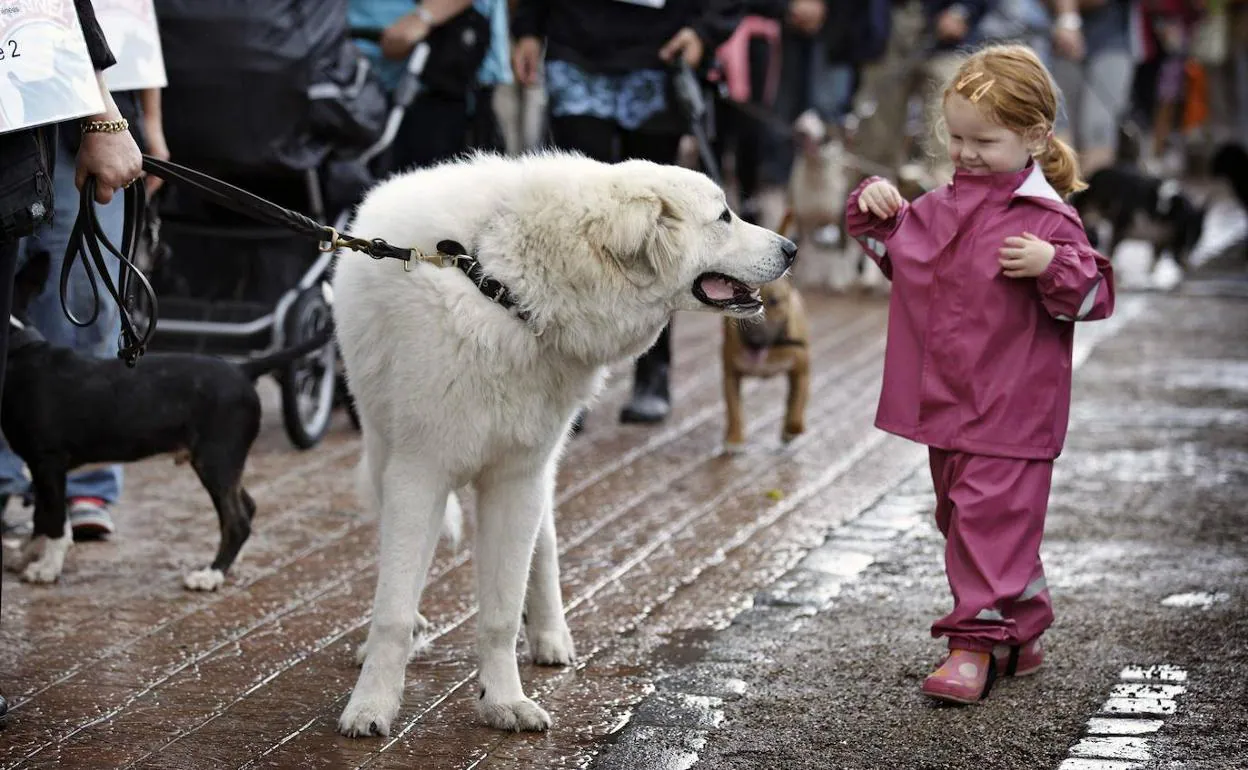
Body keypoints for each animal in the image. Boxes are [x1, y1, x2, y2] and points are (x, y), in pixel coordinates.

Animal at [1, 252, 331, 589]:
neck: (19, 351)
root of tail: (243, 369)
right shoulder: (39, 467)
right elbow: (41, 517)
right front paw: (26, 555)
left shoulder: (49, 462)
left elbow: (55, 520)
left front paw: (46, 569)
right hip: (225, 462)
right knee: (247, 508)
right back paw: (228, 566)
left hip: (215, 459)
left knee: (237, 519)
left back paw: (210, 575)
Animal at [331, 151, 793, 738]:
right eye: (723, 217)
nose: (792, 249)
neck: (500, 287)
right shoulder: (419, 473)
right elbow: (391, 607)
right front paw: (371, 705)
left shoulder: (517, 477)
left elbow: (502, 613)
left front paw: (503, 701)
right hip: (383, 451)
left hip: (537, 472)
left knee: (544, 548)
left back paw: (550, 637)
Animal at [723, 275, 808, 454]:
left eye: (774, 301)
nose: (755, 343)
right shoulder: (731, 375)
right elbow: (734, 410)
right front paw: (734, 438)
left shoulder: (801, 372)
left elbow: (797, 401)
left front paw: (792, 428)